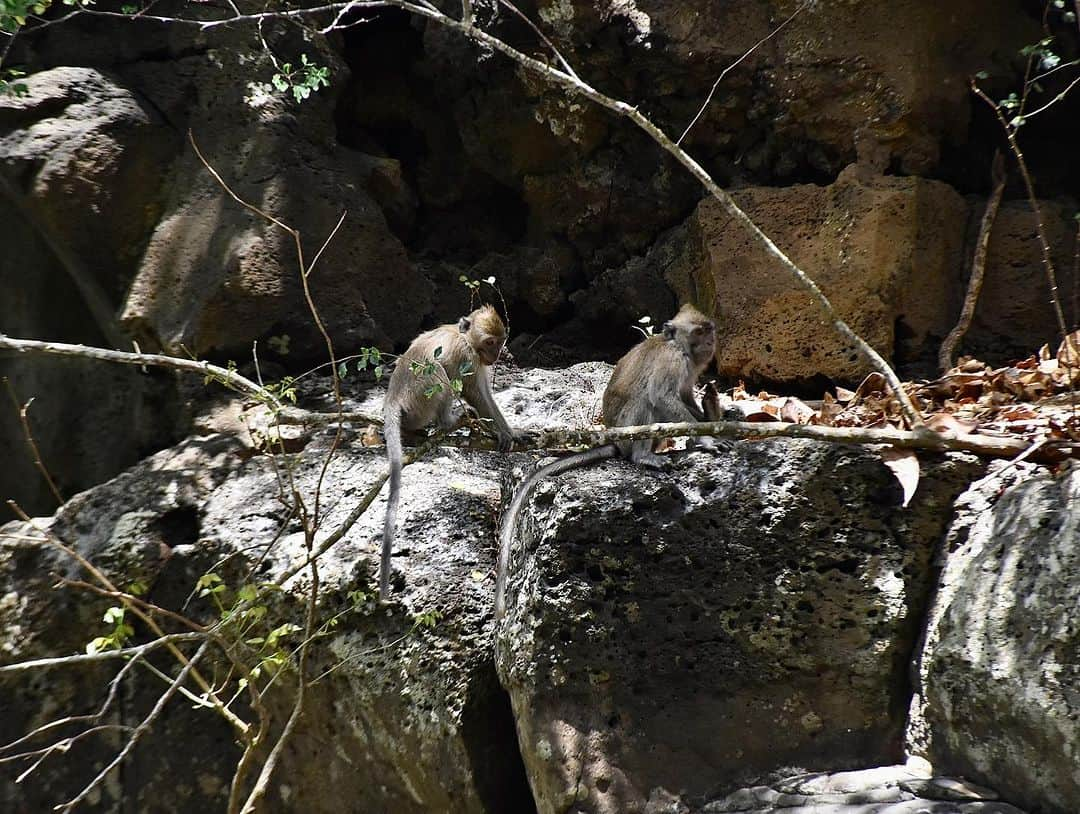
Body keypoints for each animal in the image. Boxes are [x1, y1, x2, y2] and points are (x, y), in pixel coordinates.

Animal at [382, 302, 520, 600]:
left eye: (500, 342)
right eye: (489, 342)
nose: (495, 355)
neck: (465, 337)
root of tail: (393, 396)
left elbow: (484, 392)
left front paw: (512, 432)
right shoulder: (465, 354)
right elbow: (473, 392)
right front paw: (502, 432)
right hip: (420, 398)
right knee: (438, 371)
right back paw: (448, 421)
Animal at [494, 302, 717, 613]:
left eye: (709, 329)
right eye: (698, 332)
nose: (710, 342)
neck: (679, 348)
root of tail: (613, 439)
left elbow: (685, 399)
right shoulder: (672, 362)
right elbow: (663, 397)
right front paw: (705, 437)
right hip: (627, 426)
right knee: (646, 402)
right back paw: (644, 457)